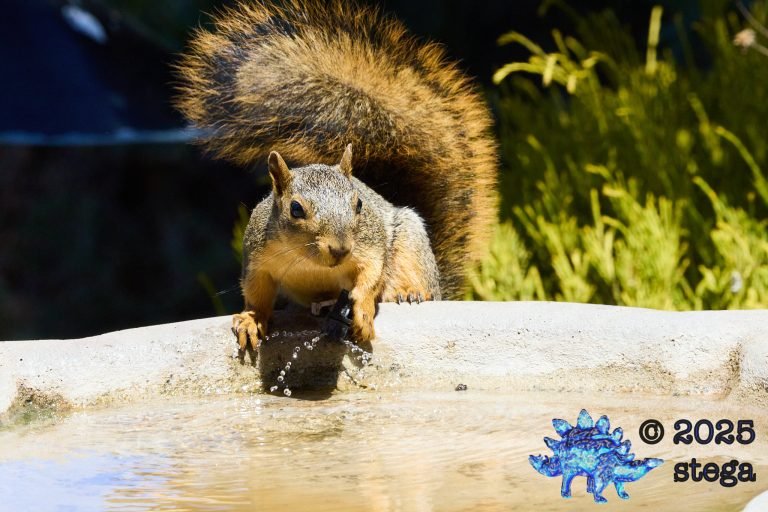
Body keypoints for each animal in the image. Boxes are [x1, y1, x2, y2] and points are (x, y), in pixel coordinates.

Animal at [174, 0, 497, 347]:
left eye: (358, 205)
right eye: (296, 209)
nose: (341, 248)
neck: (311, 263)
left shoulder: (369, 247)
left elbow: (369, 280)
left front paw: (363, 316)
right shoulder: (257, 258)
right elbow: (256, 293)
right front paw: (251, 320)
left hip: (410, 242)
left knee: (408, 277)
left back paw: (407, 292)